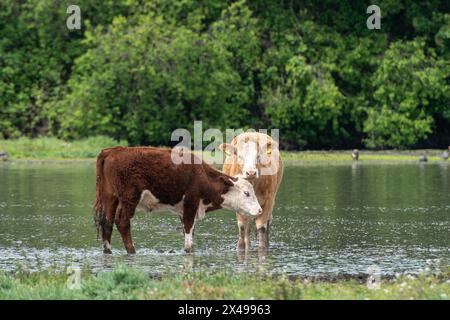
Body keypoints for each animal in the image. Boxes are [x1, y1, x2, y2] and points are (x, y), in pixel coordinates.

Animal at [93, 146, 262, 254]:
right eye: (247, 193)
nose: (259, 210)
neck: (201, 175)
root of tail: (113, 150)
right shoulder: (191, 201)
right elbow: (188, 230)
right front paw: (188, 250)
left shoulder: (185, 208)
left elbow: (190, 230)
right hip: (129, 197)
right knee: (122, 221)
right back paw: (131, 250)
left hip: (110, 197)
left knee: (107, 222)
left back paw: (108, 250)